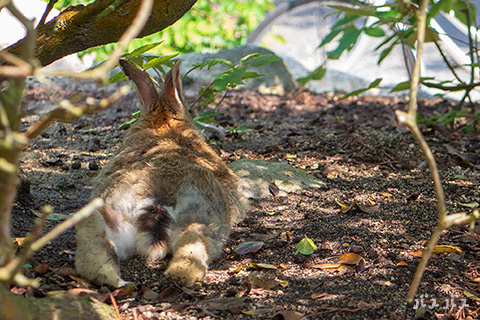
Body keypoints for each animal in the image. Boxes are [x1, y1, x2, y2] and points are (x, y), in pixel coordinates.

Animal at [76, 59, 248, 288]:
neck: (164, 125)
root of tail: (154, 197)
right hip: (201, 218)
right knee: (191, 248)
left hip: (105, 214)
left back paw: (116, 281)